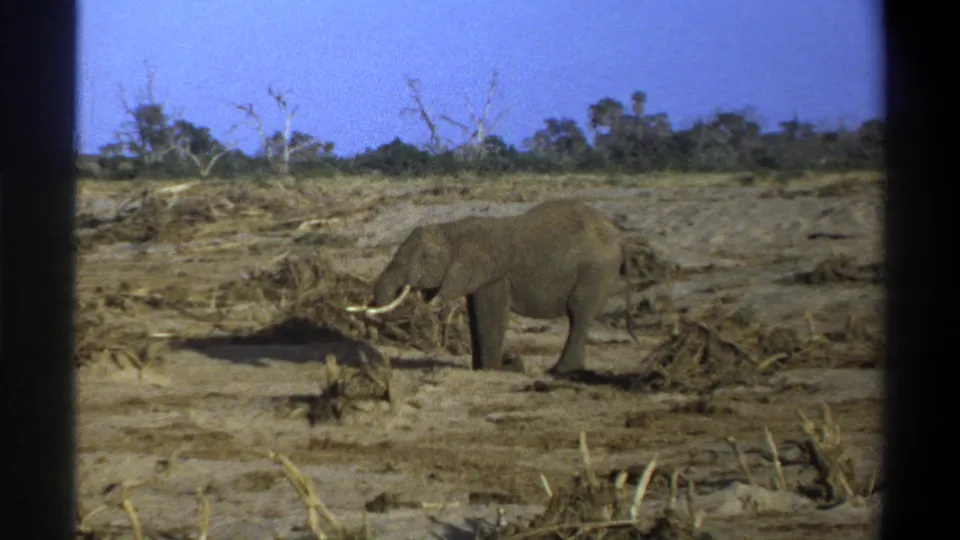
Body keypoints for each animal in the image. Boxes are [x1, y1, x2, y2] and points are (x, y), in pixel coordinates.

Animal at [348, 199, 638, 375]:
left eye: (424, 257)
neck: (453, 229)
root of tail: (621, 237)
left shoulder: (494, 274)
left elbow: (491, 314)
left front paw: (496, 369)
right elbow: (476, 313)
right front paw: (485, 369)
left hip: (595, 271)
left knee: (578, 311)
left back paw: (560, 371)